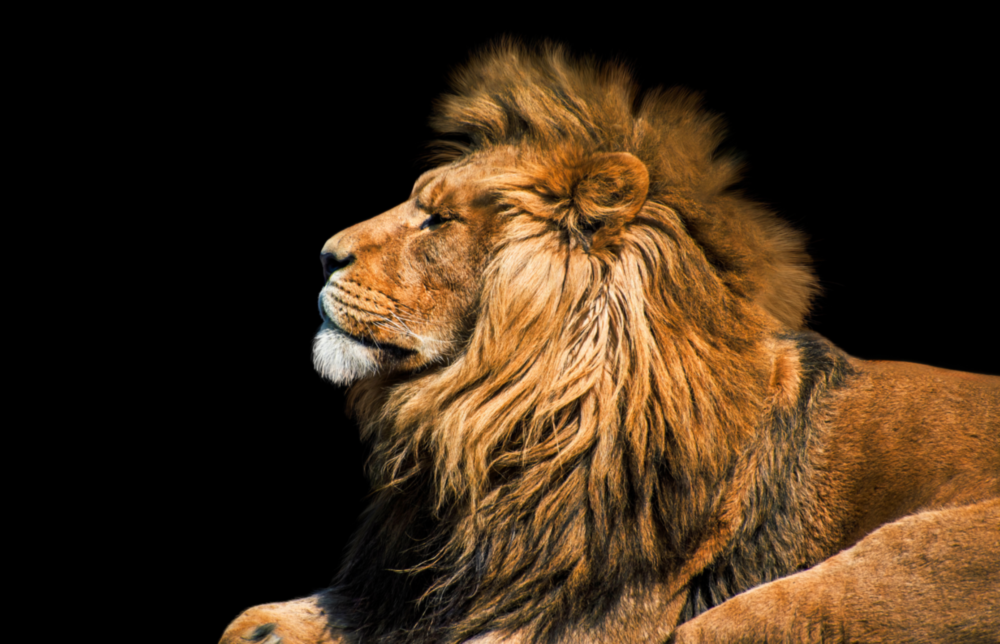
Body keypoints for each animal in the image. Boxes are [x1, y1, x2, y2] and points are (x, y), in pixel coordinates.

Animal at [221, 42, 999, 644]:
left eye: (437, 219)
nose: (324, 254)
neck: (482, 417)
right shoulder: (403, 590)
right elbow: (260, 618)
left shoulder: (578, 621)